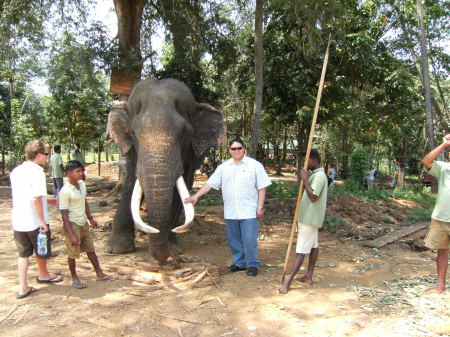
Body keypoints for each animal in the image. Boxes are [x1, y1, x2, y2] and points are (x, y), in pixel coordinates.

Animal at [105, 78, 225, 262]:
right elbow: (131, 184)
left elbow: (180, 189)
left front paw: (175, 248)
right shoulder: (130, 148)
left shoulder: (190, 154)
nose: (172, 259)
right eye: (133, 133)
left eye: (183, 134)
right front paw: (117, 249)